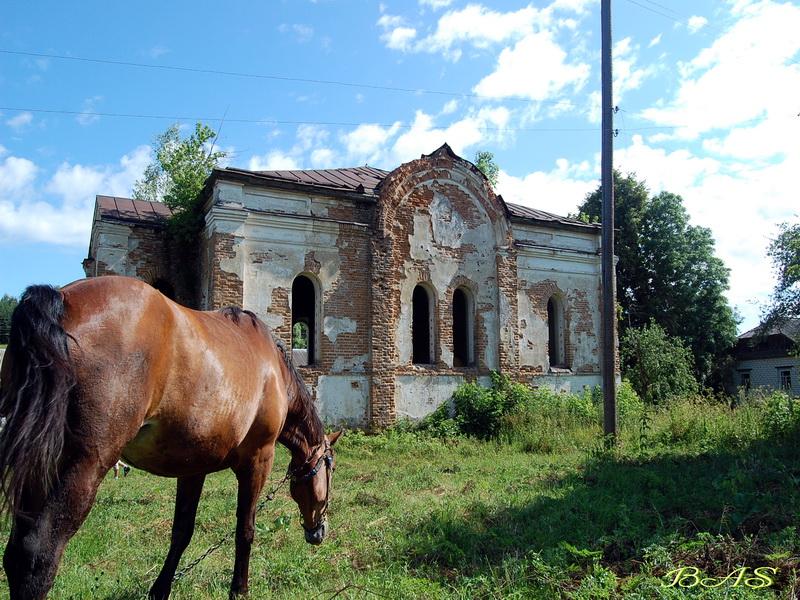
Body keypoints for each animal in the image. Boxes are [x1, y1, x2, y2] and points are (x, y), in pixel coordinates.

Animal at [0, 276, 340, 600]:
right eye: (330, 469)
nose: (318, 532)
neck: (274, 369)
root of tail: (62, 301)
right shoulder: (257, 461)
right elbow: (245, 529)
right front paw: (239, 589)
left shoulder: (193, 468)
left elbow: (182, 532)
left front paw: (160, 589)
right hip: (83, 467)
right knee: (37, 554)